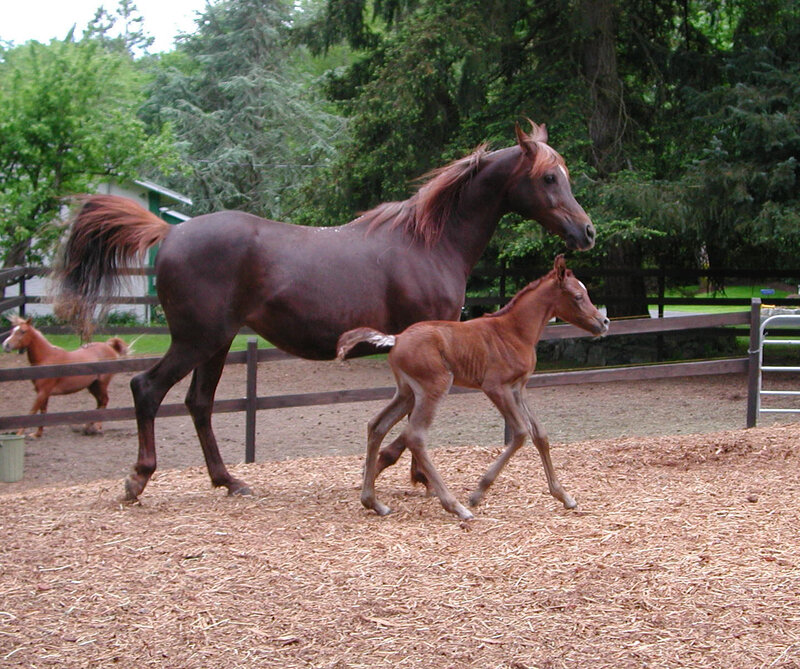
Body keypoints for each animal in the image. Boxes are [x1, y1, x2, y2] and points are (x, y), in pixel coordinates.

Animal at [52, 121, 596, 502]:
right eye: (550, 177)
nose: (587, 231)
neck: (428, 242)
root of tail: (171, 232)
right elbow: (410, 423)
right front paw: (402, 470)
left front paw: (409, 474)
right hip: (195, 341)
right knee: (147, 389)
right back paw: (138, 480)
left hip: (217, 344)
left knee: (198, 404)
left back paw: (229, 482)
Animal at [336, 255, 609, 520]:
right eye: (578, 296)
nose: (604, 322)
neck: (514, 331)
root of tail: (397, 338)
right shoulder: (496, 387)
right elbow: (521, 432)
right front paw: (478, 492)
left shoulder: (518, 388)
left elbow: (539, 434)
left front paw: (564, 496)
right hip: (434, 386)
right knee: (415, 436)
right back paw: (456, 507)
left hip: (407, 392)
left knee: (377, 426)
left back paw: (373, 502)